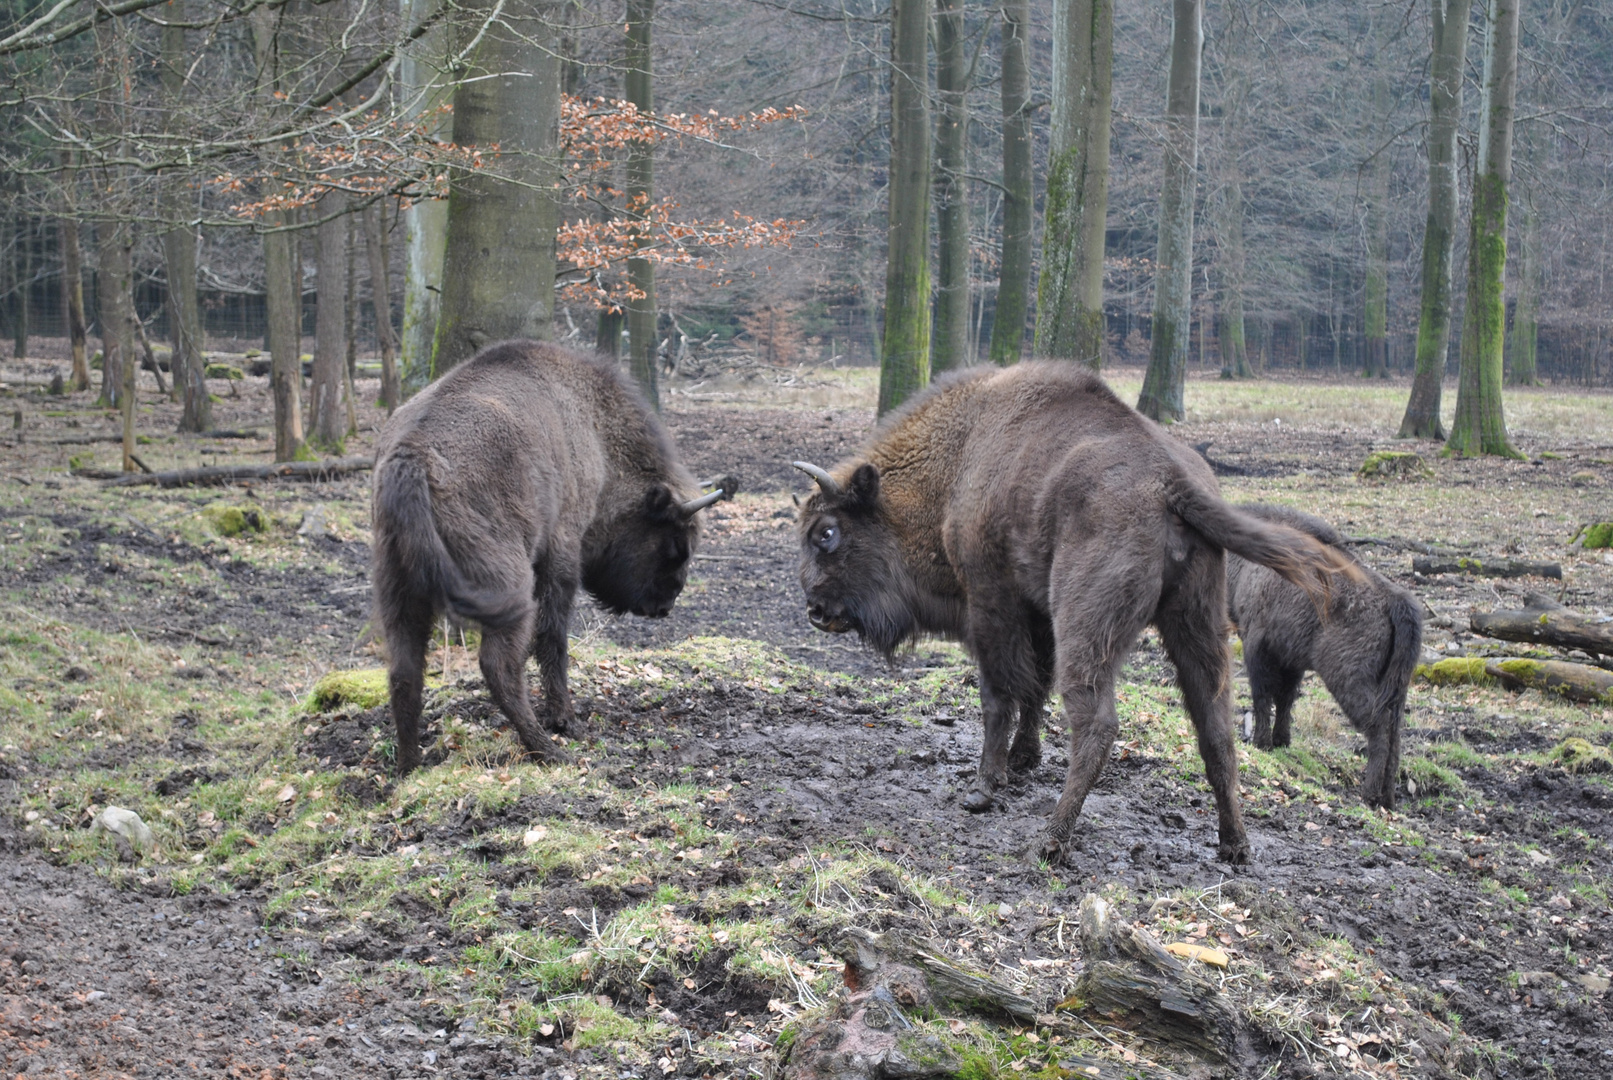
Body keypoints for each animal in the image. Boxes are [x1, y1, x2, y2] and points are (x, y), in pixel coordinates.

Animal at [370, 343, 732, 773]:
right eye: (675, 544)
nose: (665, 604)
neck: (596, 433)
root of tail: (410, 456)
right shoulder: (562, 552)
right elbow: (553, 637)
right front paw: (565, 719)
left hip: (399, 591)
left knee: (405, 671)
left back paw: (411, 765)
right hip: (509, 589)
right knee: (498, 665)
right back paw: (549, 750)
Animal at [793, 361, 1361, 864]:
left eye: (826, 533)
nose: (816, 610)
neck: (960, 457)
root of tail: (1169, 480)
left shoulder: (991, 603)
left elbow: (1000, 694)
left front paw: (984, 786)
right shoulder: (1038, 613)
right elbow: (1035, 687)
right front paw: (1023, 761)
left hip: (1089, 627)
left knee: (1098, 724)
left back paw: (1051, 841)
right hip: (1197, 622)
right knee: (1215, 727)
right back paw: (1235, 846)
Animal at [1225, 509, 1419, 812]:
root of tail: (1397, 601)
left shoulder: (1257, 645)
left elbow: (1262, 696)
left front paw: (1261, 742)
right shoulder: (1290, 659)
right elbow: (1285, 699)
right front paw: (1281, 741)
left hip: (1348, 680)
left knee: (1379, 727)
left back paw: (1369, 795)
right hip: (1397, 687)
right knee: (1396, 732)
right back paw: (1387, 798)